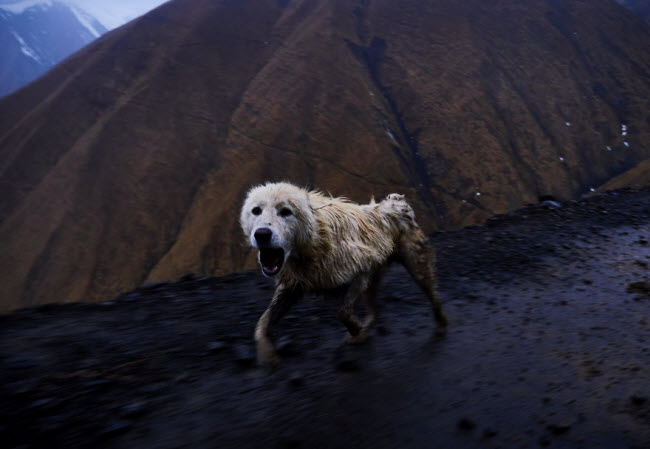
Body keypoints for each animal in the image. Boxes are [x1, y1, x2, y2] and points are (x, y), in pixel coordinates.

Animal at [238, 180, 446, 366]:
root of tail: (397, 202)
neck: (315, 241)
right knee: (376, 309)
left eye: (286, 211)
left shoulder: (361, 269)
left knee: (431, 292)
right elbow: (261, 324)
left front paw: (355, 328)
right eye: (256, 210)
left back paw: (441, 323)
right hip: (375, 279)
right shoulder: (292, 287)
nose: (262, 234)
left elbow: (342, 312)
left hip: (415, 264)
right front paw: (267, 354)